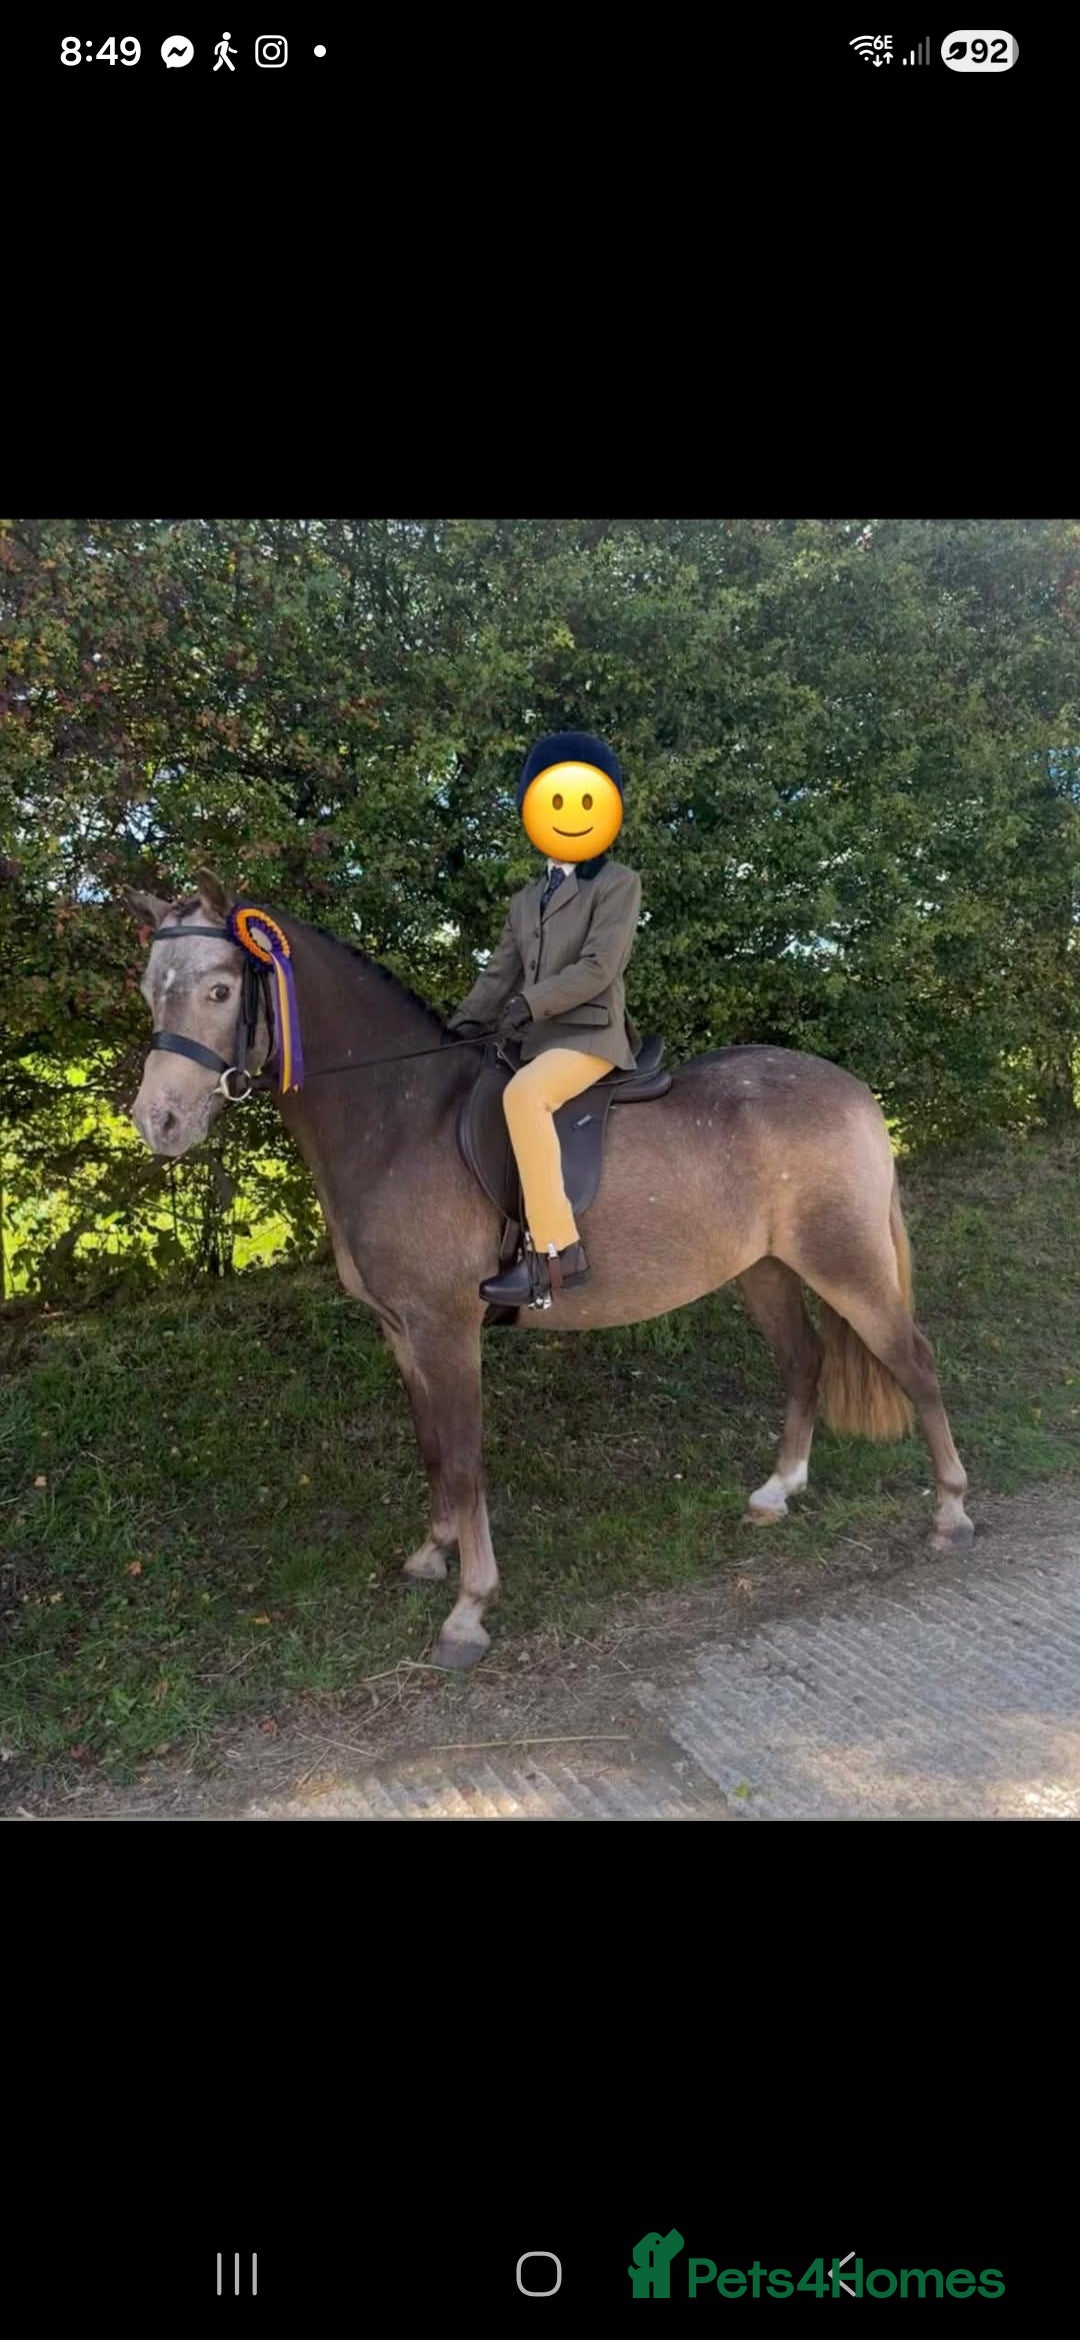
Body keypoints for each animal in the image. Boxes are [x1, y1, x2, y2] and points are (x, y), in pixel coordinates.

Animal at [126, 872, 974, 1670]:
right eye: (148, 989)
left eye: (220, 990)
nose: (157, 1122)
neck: (401, 1118)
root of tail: (851, 1089)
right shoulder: (401, 1331)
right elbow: (433, 1449)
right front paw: (433, 1553)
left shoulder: (446, 1328)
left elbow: (465, 1458)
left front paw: (469, 1610)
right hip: (764, 1268)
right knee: (804, 1362)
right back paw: (778, 1492)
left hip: (846, 1263)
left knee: (915, 1361)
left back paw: (950, 1511)